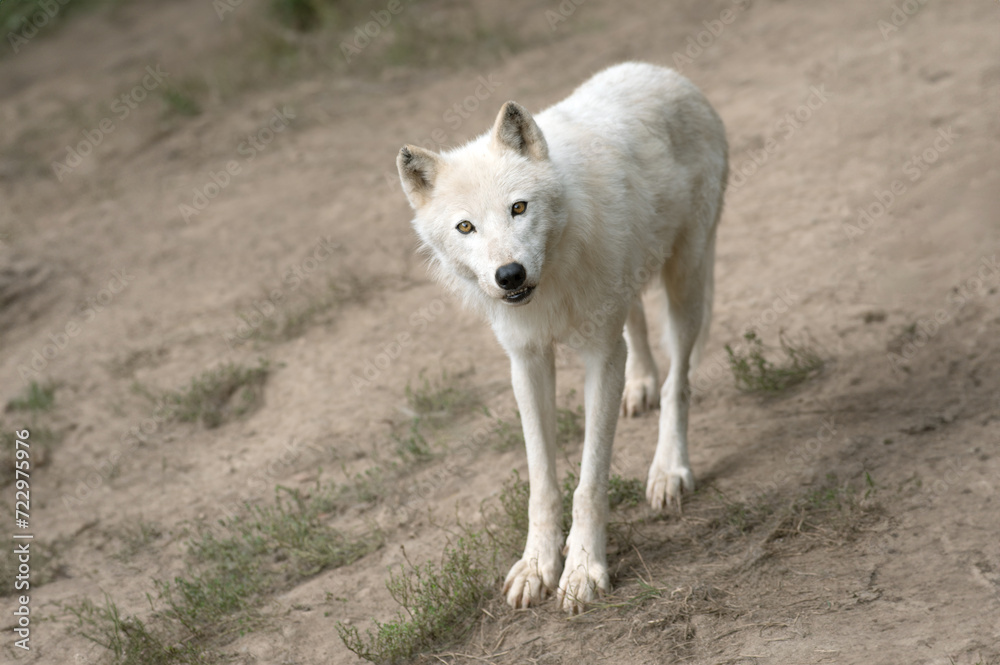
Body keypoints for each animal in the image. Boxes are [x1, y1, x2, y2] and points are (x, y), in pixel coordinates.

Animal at [396, 62, 728, 613]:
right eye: (465, 227)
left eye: (518, 208)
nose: (509, 274)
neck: (553, 275)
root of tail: (661, 71)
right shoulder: (527, 361)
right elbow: (542, 484)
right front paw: (538, 566)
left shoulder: (600, 357)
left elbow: (588, 484)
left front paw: (582, 570)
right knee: (637, 332)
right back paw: (640, 386)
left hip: (685, 283)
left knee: (678, 382)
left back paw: (668, 470)